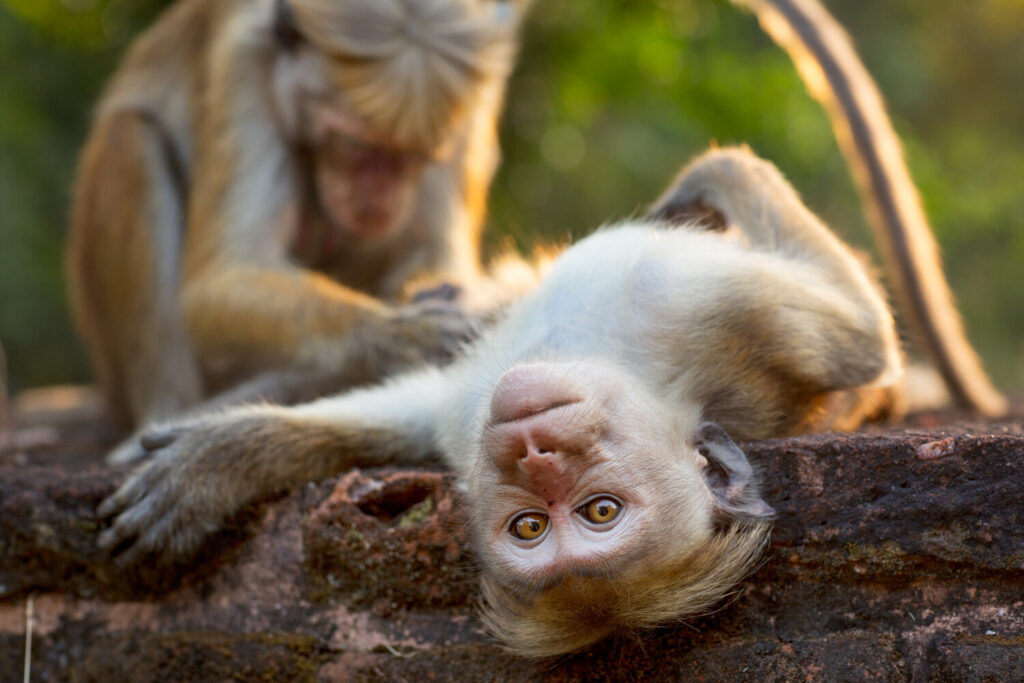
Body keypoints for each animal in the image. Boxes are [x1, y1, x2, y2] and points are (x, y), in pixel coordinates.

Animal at [66, 0, 531, 441]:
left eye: (418, 155)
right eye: (355, 146)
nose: (378, 202)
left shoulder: (476, 89)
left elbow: (435, 250)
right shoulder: (243, 63)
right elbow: (218, 280)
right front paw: (399, 337)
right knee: (131, 136)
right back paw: (174, 413)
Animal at [99, 147, 903, 656]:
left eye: (598, 511)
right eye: (530, 526)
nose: (535, 451)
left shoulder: (718, 310)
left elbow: (864, 341)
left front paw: (721, 169)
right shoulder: (468, 418)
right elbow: (408, 410)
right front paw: (220, 462)